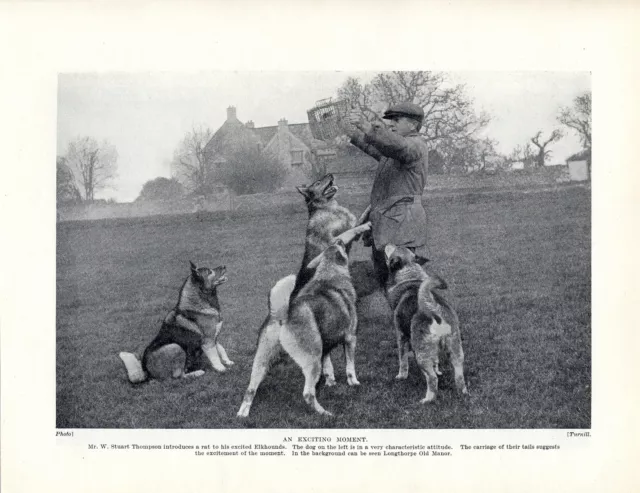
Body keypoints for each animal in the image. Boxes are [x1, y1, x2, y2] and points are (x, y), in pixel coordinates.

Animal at [238, 175, 370, 418]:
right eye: (319, 181)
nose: (331, 174)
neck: (325, 208)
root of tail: (279, 315)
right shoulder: (338, 238)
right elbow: (352, 231)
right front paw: (367, 225)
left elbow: (361, 217)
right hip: (305, 355)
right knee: (309, 389)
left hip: (261, 361)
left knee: (250, 389)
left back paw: (243, 414)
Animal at [382, 244, 468, 402]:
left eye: (393, 250)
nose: (388, 244)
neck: (410, 274)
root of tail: (435, 309)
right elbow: (435, 361)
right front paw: (438, 369)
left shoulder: (401, 336)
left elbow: (402, 360)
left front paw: (401, 376)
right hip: (455, 349)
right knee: (459, 375)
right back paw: (462, 393)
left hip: (421, 354)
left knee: (432, 379)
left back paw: (428, 399)